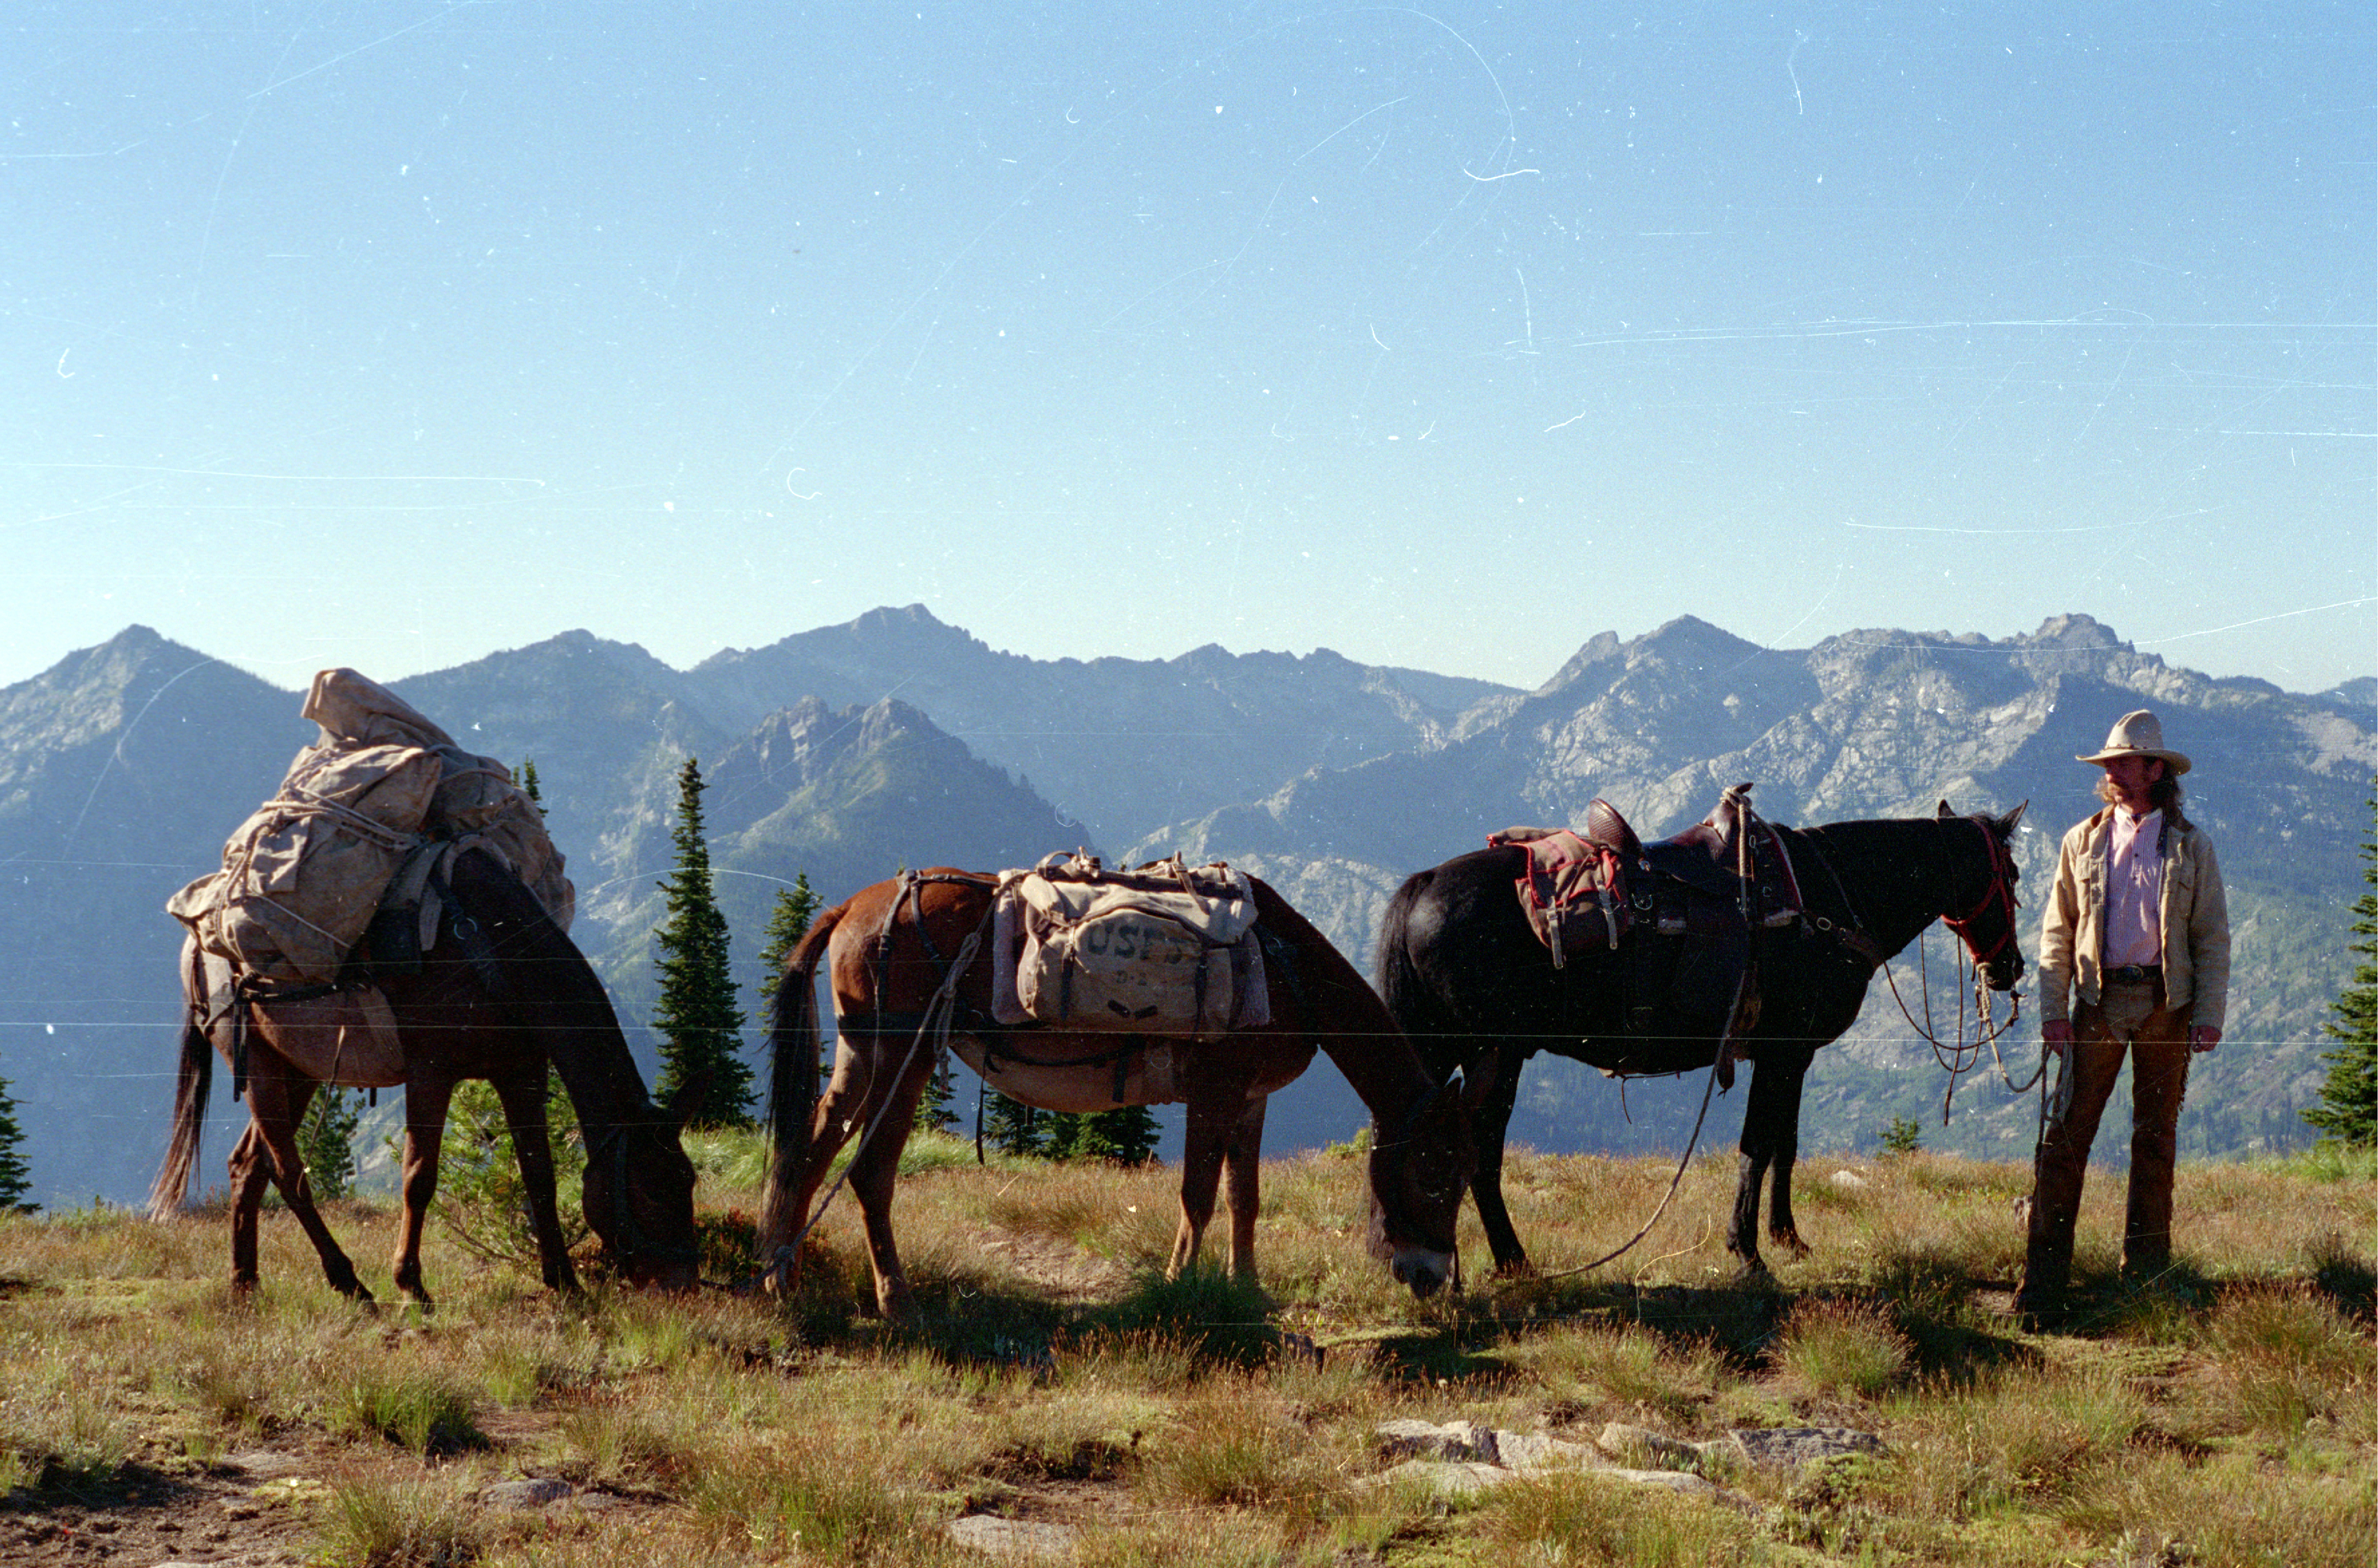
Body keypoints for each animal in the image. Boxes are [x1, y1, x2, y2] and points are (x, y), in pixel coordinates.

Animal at [150, 851, 694, 1304]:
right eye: (650, 1190)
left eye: (688, 1180)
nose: (682, 1283)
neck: (492, 950)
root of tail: (196, 947)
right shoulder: (431, 1073)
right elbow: (418, 1177)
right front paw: (411, 1284)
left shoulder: (521, 1072)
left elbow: (540, 1174)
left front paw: (564, 1281)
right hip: (258, 1064)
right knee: (287, 1172)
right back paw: (350, 1283)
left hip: (297, 1071)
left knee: (248, 1164)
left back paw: (245, 1284)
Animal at [761, 866, 1464, 1322]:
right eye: (1433, 1176)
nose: (1431, 1278)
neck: (1284, 966)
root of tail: (852, 906)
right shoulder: (1214, 1090)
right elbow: (1198, 1196)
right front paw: (1180, 1284)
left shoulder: (1250, 1097)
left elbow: (1244, 1198)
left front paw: (1247, 1288)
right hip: (902, 1059)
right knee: (870, 1171)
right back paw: (897, 1300)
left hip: (862, 1054)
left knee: (808, 1148)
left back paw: (780, 1277)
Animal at [1379, 799, 2026, 1275]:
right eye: (2013, 874)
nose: (2010, 970)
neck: (1831, 896)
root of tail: (1424, 883)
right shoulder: (1783, 1054)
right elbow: (1757, 1146)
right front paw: (1748, 1252)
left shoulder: (1791, 1056)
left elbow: (1785, 1145)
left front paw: (1788, 1239)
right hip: (1495, 1053)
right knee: (1479, 1154)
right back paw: (1514, 1262)